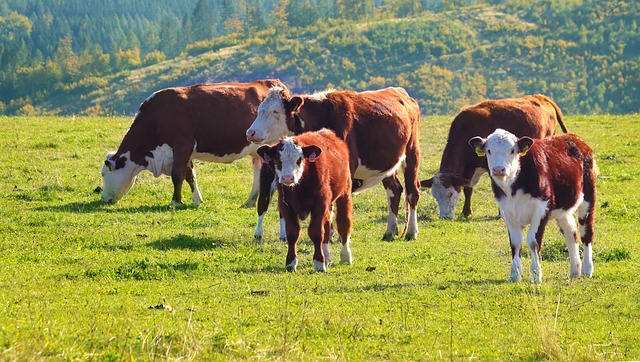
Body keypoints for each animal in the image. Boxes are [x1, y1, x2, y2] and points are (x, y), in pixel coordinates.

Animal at [100, 80, 284, 208]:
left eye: (104, 174)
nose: (103, 199)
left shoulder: (182, 145)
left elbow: (177, 175)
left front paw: (175, 202)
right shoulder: (183, 152)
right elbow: (189, 175)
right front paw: (197, 200)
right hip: (257, 152)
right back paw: (250, 202)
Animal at [248, 86, 422, 242]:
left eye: (275, 111)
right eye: (259, 110)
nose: (250, 132)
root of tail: (400, 92)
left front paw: (337, 236)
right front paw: (328, 234)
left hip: (412, 153)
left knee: (412, 191)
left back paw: (411, 232)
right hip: (387, 164)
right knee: (394, 191)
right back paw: (390, 232)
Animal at [256, 129, 356, 272]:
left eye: (299, 159)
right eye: (277, 158)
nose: (288, 178)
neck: (300, 187)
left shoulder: (320, 203)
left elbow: (316, 232)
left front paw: (319, 263)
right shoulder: (286, 205)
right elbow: (292, 233)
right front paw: (291, 263)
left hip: (344, 193)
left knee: (344, 224)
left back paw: (346, 256)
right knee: (327, 227)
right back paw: (327, 257)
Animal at [422, 94, 568, 219]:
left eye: (450, 193)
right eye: (435, 196)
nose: (444, 217)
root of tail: (540, 97)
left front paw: (501, 213)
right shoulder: (469, 168)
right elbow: (468, 189)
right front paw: (466, 212)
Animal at [468, 129, 596, 284]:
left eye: (513, 150)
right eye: (488, 151)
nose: (498, 169)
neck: (514, 187)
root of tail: (573, 138)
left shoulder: (541, 208)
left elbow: (533, 241)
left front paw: (535, 275)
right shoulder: (507, 212)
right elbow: (515, 243)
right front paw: (515, 274)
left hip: (588, 198)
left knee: (586, 233)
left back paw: (587, 269)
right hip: (563, 209)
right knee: (571, 233)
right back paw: (575, 270)